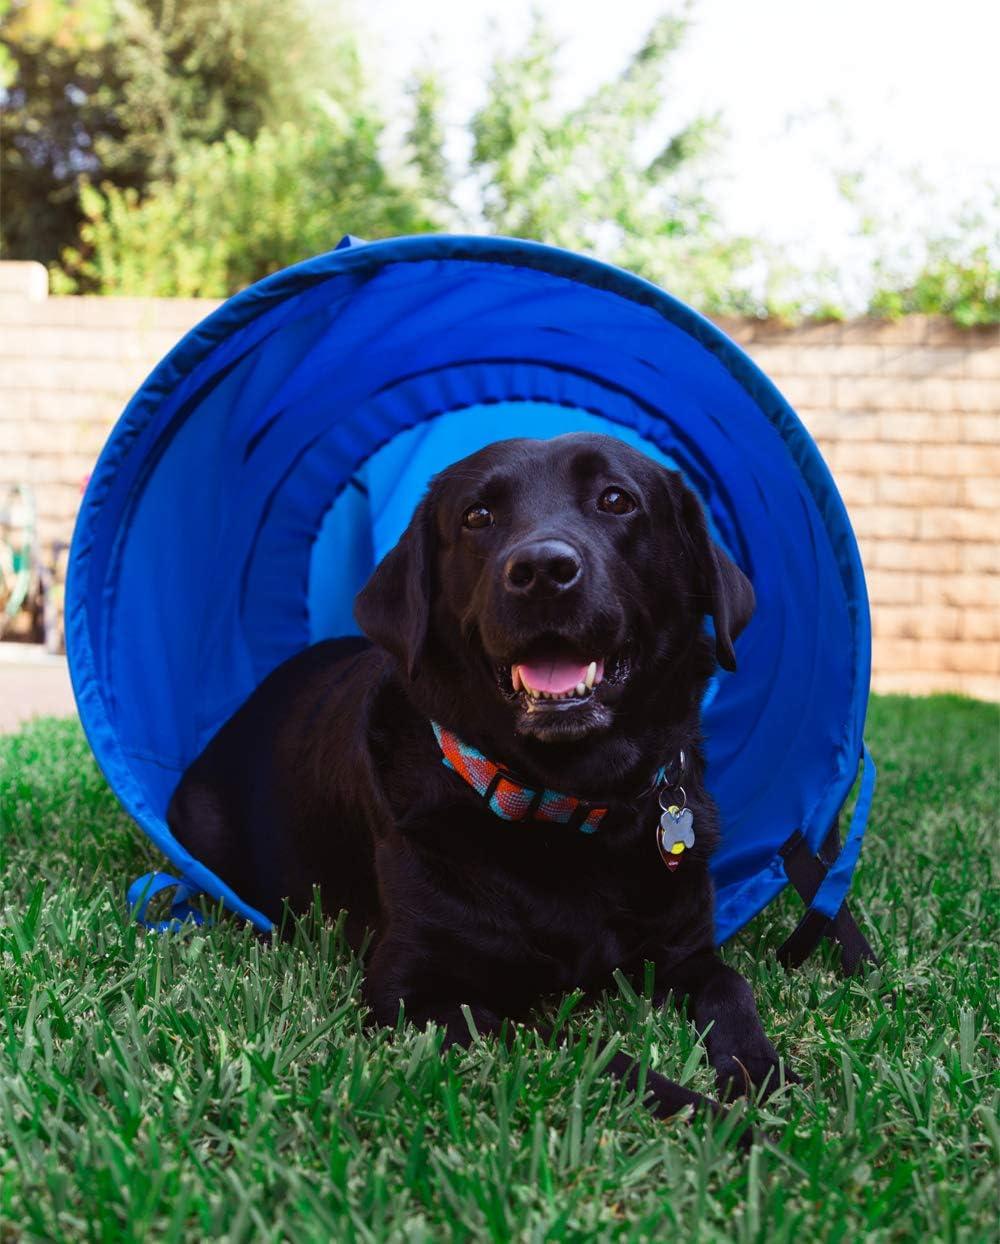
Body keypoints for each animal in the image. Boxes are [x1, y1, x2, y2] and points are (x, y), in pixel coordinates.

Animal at [174, 430, 796, 1129]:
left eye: (617, 499)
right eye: (477, 516)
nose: (543, 571)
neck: (568, 809)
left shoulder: (684, 951)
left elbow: (732, 987)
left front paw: (766, 1082)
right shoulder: (418, 993)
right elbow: (591, 1053)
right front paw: (717, 1120)